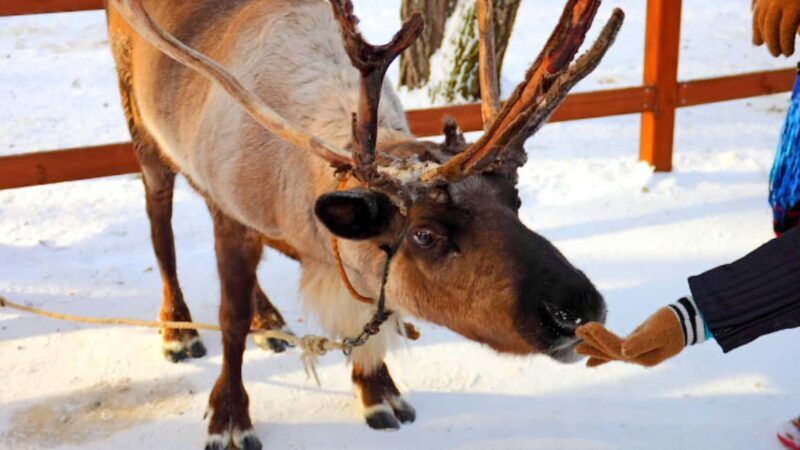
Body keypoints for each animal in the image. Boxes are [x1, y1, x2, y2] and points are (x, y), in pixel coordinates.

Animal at [104, 0, 623, 448]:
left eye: (515, 199)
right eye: (425, 234)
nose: (578, 310)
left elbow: (371, 316)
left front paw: (378, 391)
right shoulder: (233, 217)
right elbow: (230, 323)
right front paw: (229, 418)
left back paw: (268, 321)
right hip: (142, 128)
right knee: (160, 225)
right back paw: (178, 329)